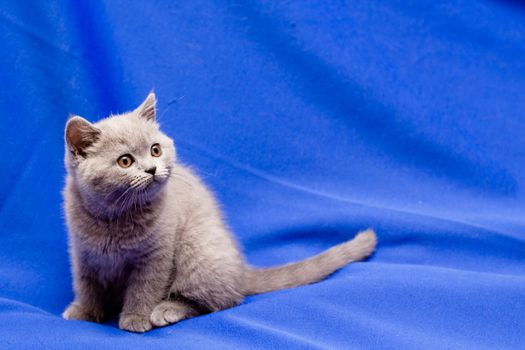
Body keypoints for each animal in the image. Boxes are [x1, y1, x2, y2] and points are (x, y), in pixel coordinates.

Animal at [60, 91, 376, 332]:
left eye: (155, 150)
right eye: (125, 161)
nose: (151, 169)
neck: (113, 220)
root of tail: (240, 269)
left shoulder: (156, 256)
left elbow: (144, 288)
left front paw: (136, 318)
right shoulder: (82, 253)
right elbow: (86, 284)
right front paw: (83, 312)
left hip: (197, 247)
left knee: (223, 300)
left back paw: (167, 309)